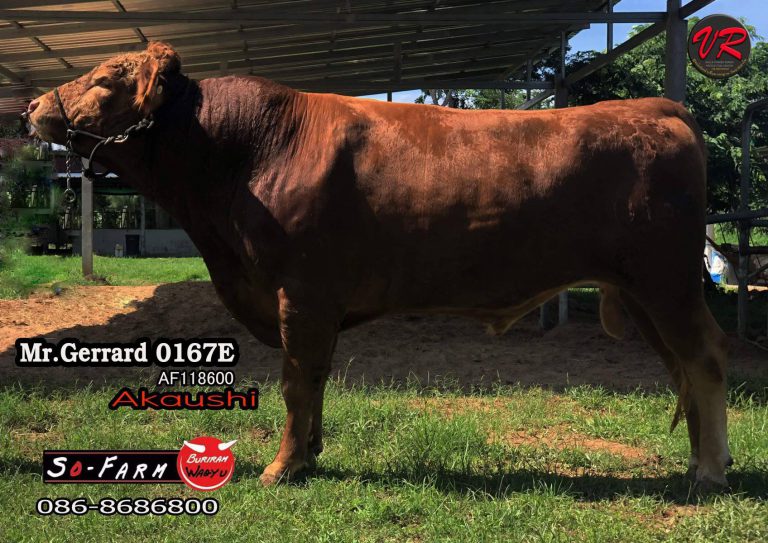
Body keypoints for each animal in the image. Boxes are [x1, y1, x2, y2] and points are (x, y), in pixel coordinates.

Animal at [25, 42, 731, 491]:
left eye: (105, 81)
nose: (31, 107)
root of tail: (657, 108)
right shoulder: (310, 302)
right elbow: (315, 379)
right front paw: (309, 455)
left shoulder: (302, 291)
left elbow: (296, 380)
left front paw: (281, 468)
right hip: (642, 291)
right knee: (681, 368)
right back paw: (696, 462)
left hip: (667, 282)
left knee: (704, 359)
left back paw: (710, 469)